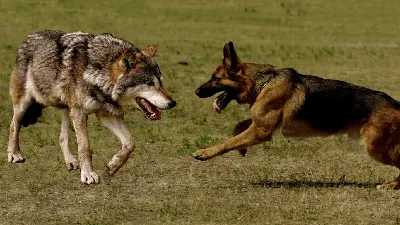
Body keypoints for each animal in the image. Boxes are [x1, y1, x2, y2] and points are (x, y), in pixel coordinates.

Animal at [7, 30, 176, 185]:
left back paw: (70, 161)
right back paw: (14, 154)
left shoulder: (106, 115)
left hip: (67, 109)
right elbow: (85, 147)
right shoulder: (81, 114)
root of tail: (28, 37)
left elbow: (130, 142)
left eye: (161, 82)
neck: (98, 73)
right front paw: (88, 174)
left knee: (62, 137)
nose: (172, 103)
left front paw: (113, 166)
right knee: (13, 125)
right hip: (24, 105)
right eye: (149, 83)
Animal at [193, 41, 400, 188]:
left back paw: (390, 186)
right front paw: (242, 148)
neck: (263, 83)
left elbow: (227, 142)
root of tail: (395, 104)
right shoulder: (261, 125)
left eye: (215, 78)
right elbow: (239, 129)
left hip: (375, 147)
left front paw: (204, 152)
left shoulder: (261, 131)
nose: (196, 92)